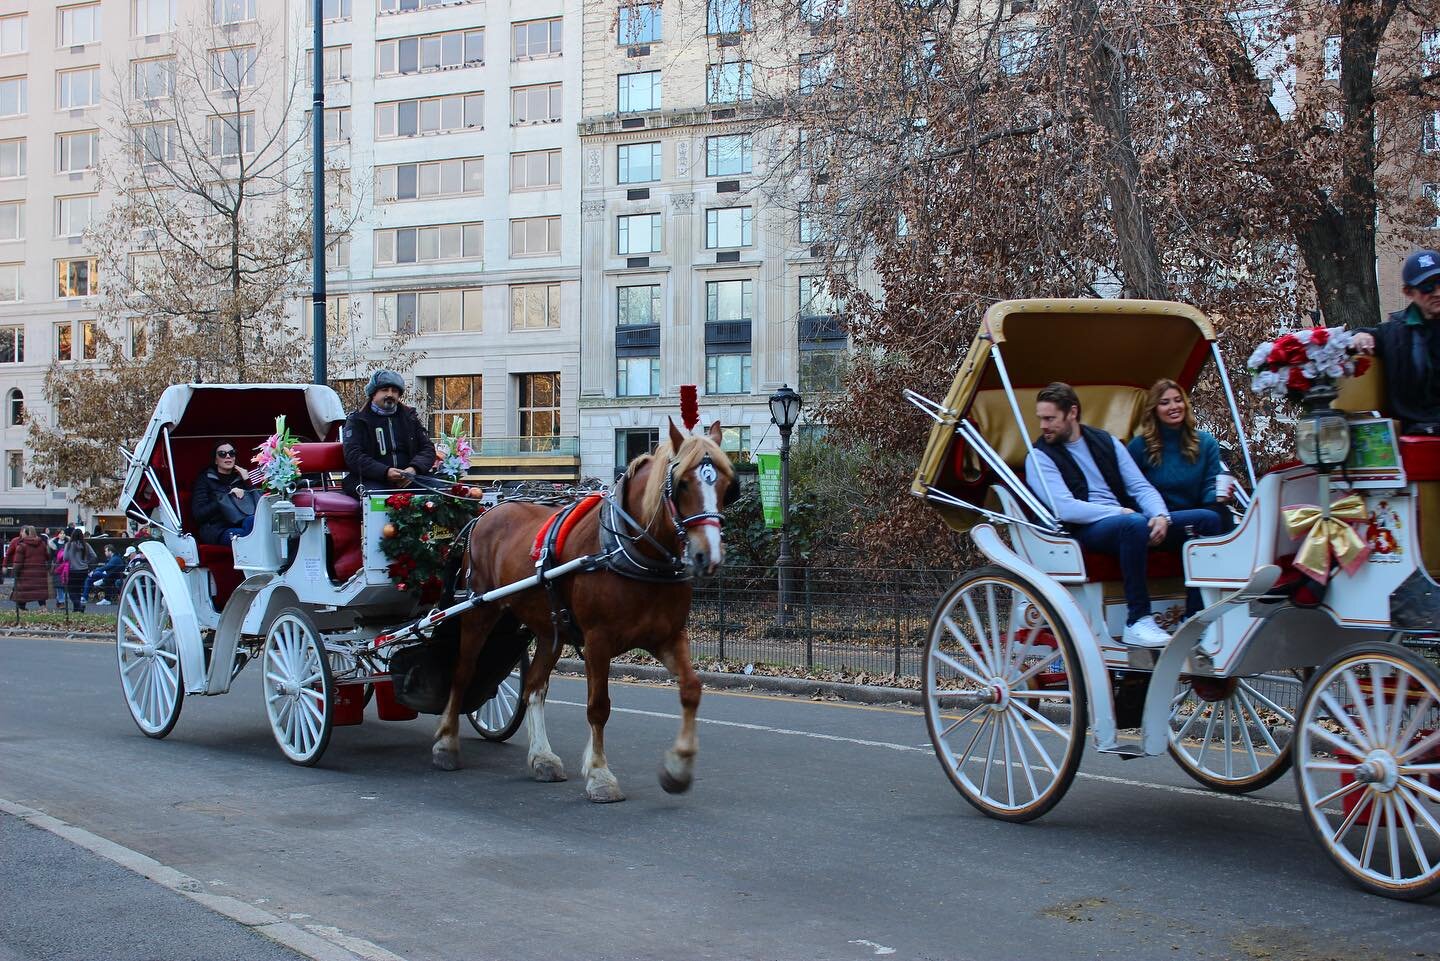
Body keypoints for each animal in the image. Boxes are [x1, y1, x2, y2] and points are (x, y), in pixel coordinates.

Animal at [432, 420, 737, 806]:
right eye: (681, 483)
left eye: (726, 485)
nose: (707, 556)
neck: (629, 550)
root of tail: (487, 512)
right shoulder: (597, 641)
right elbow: (598, 706)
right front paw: (599, 774)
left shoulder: (668, 636)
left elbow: (692, 689)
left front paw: (677, 768)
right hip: (479, 612)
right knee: (463, 674)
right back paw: (446, 743)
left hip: (548, 629)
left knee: (534, 687)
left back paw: (542, 757)